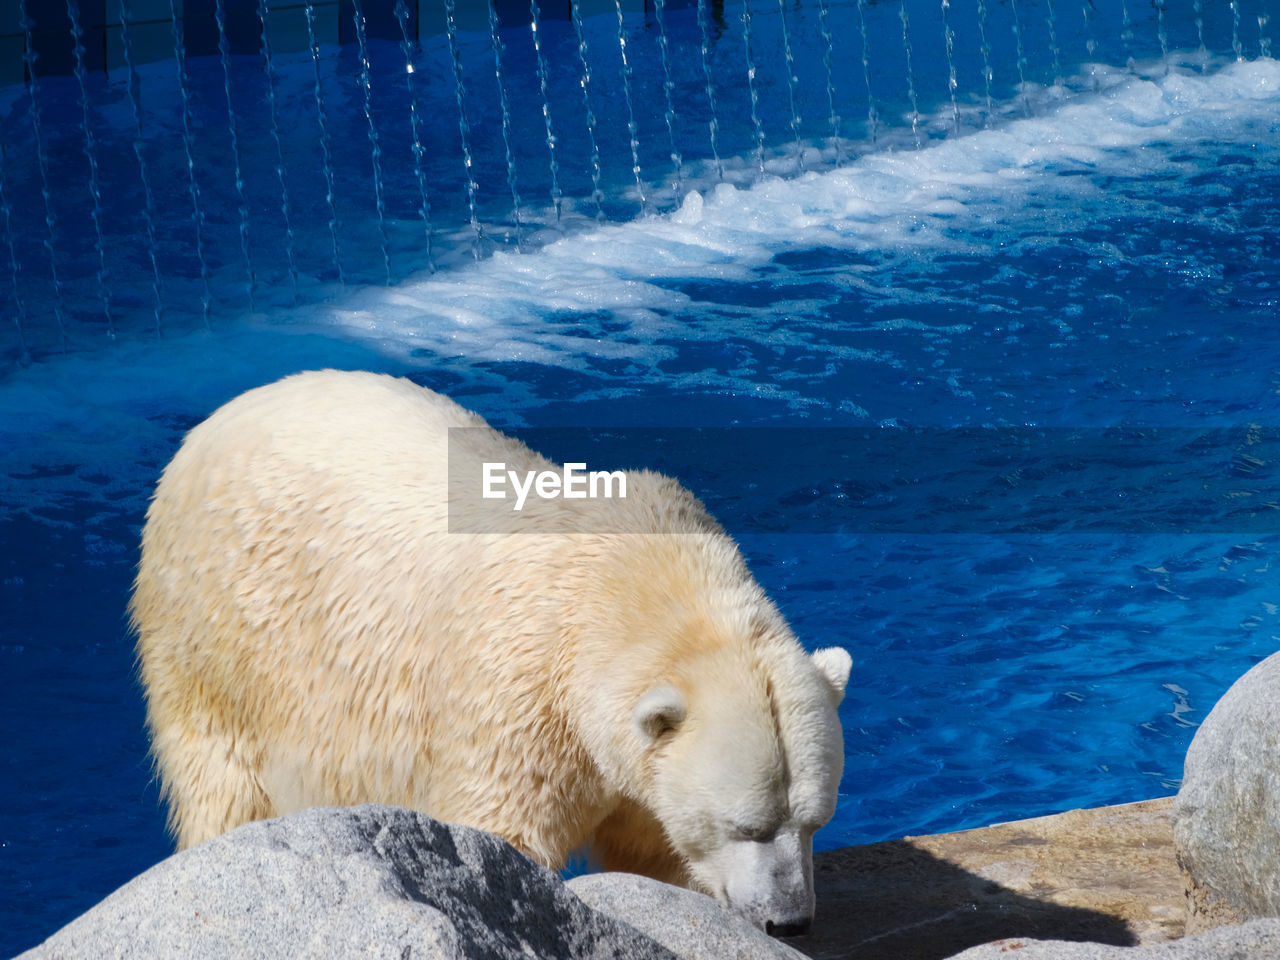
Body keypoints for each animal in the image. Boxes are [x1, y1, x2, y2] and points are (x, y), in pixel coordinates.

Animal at [132, 371, 849, 942]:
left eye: (815, 819)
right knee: (224, 785)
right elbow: (503, 836)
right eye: (746, 825)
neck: (621, 584)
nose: (790, 920)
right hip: (220, 635)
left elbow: (652, 849)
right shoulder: (519, 704)